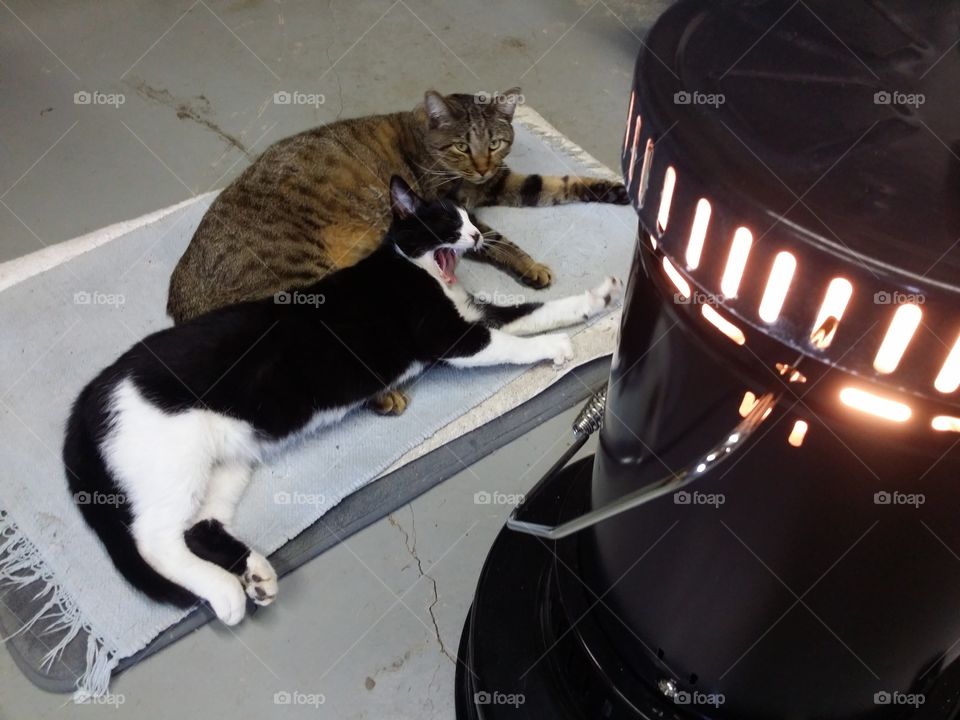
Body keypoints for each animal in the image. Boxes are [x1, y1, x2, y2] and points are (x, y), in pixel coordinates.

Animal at [67, 179, 624, 624]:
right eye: (447, 221)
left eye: (470, 218)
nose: (476, 236)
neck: (414, 269)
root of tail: (93, 391)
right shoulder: (454, 340)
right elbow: (512, 342)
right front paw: (555, 348)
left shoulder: (476, 316)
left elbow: (536, 310)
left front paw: (596, 301)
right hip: (173, 458)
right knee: (154, 539)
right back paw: (226, 593)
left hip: (227, 461)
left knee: (199, 528)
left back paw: (254, 575)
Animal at [165, 89, 632, 414]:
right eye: (462, 146)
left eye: (496, 143)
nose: (481, 165)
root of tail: (180, 298)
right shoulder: (452, 205)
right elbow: (497, 239)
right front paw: (530, 265)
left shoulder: (498, 183)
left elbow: (557, 183)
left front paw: (614, 189)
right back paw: (382, 395)